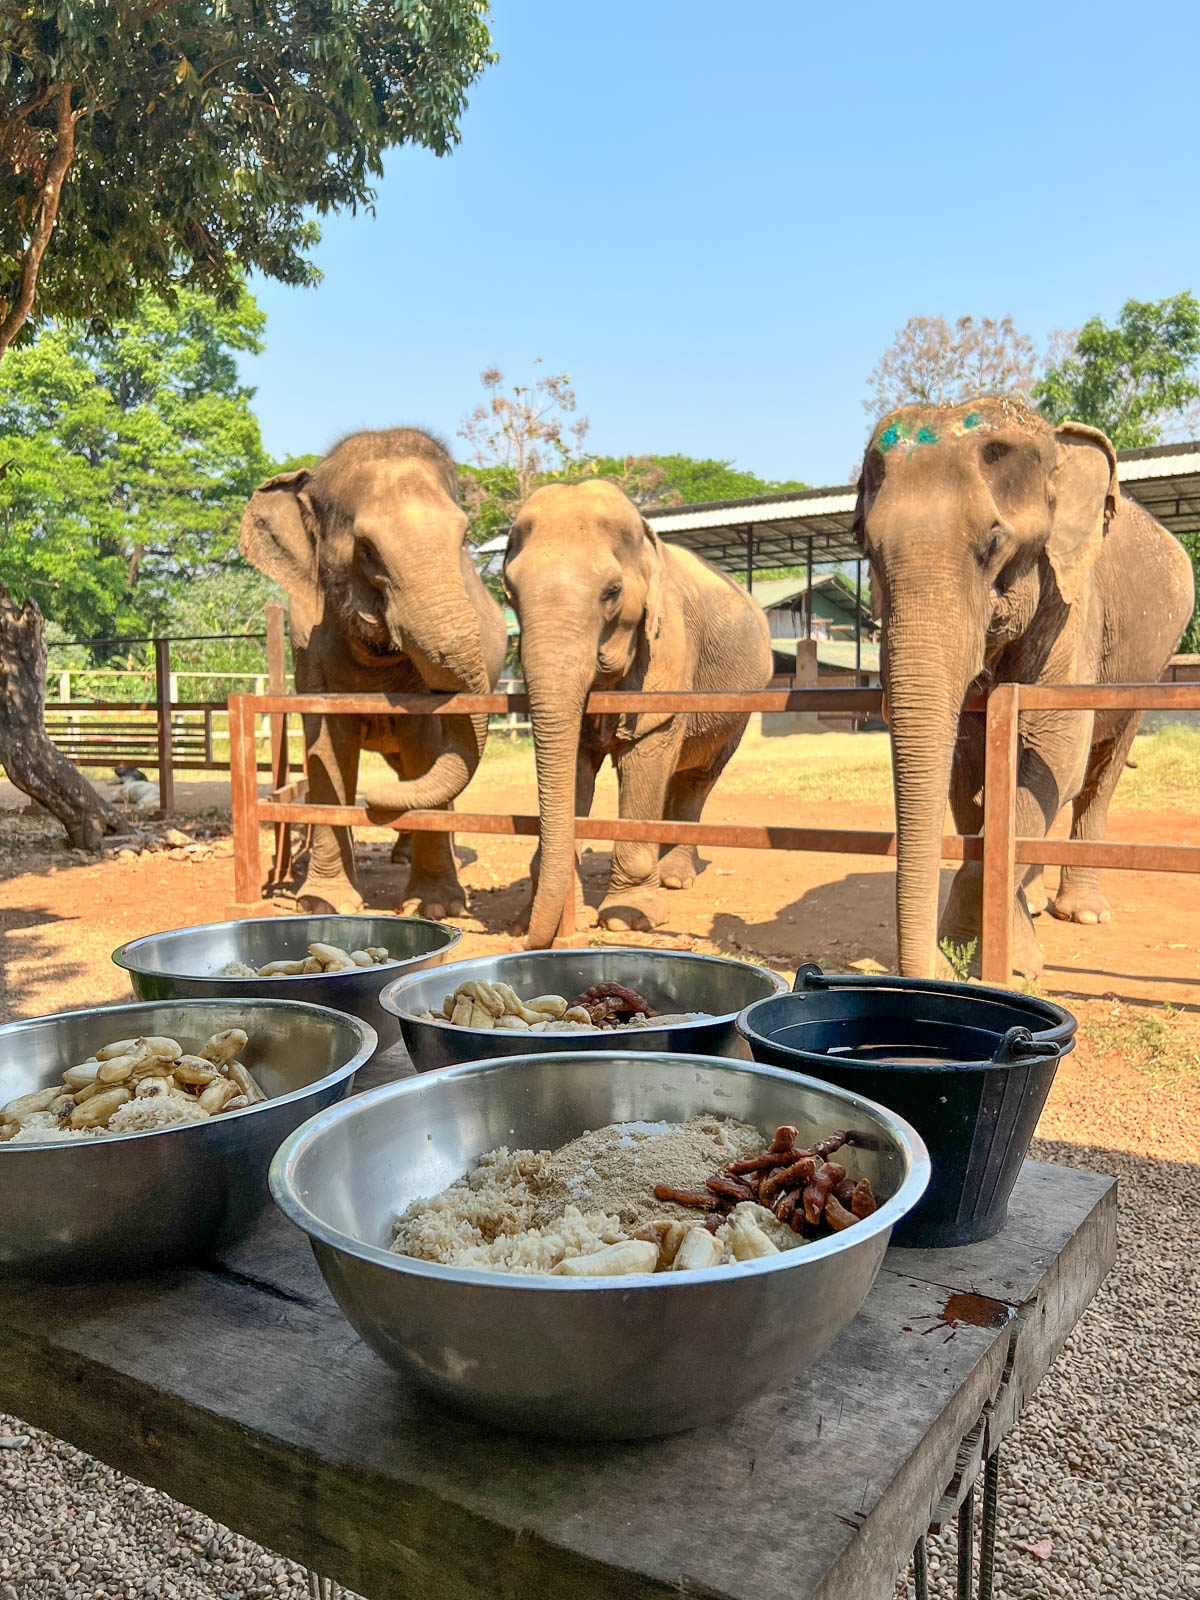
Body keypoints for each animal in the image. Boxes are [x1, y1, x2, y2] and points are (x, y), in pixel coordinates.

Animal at [240, 428, 508, 916]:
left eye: (464, 537)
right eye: (365, 549)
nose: (375, 808)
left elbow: (427, 741)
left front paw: (435, 908)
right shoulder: (307, 643)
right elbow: (326, 747)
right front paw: (322, 903)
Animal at [503, 479, 773, 949]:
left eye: (612, 592)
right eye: (510, 592)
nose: (526, 940)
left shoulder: (670, 642)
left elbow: (646, 755)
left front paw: (626, 921)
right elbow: (576, 770)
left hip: (740, 709)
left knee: (697, 778)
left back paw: (675, 878)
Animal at [854, 396, 1194, 979]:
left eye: (993, 543)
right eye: (866, 549)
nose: (927, 967)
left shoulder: (1073, 604)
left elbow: (1055, 751)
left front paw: (999, 967)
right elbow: (969, 773)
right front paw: (976, 955)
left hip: (1147, 668)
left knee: (1100, 770)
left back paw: (1082, 913)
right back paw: (1035, 904)